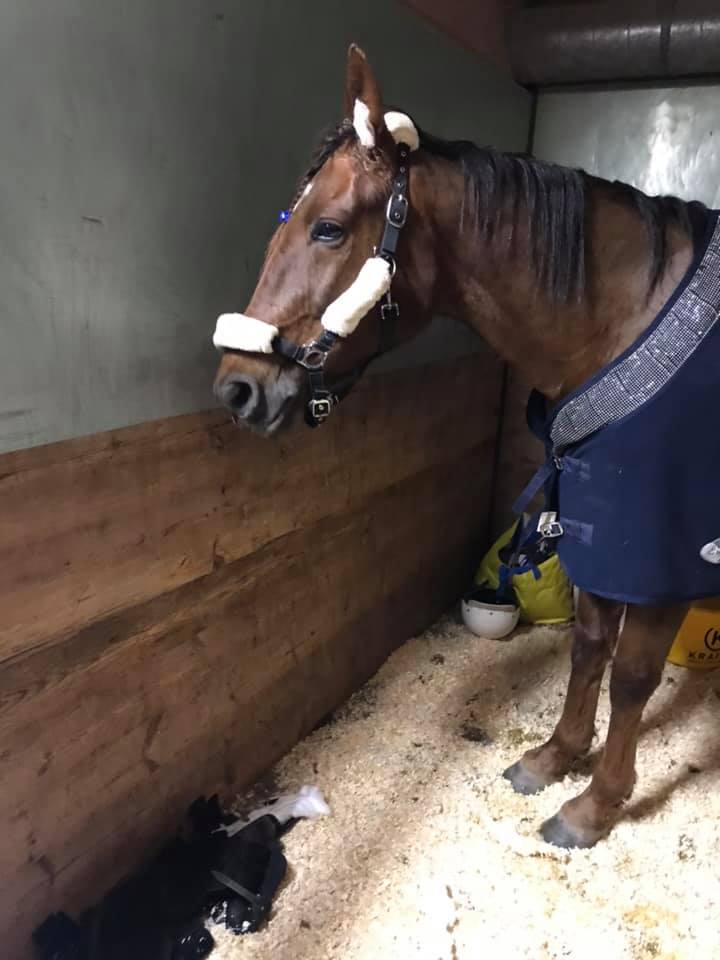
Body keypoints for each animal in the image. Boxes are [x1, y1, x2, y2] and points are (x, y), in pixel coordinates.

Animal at [213, 44, 720, 848]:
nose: (236, 388)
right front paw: (554, 758)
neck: (628, 322)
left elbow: (633, 678)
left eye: (328, 229)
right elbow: (589, 648)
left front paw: (597, 805)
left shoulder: (657, 558)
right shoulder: (596, 528)